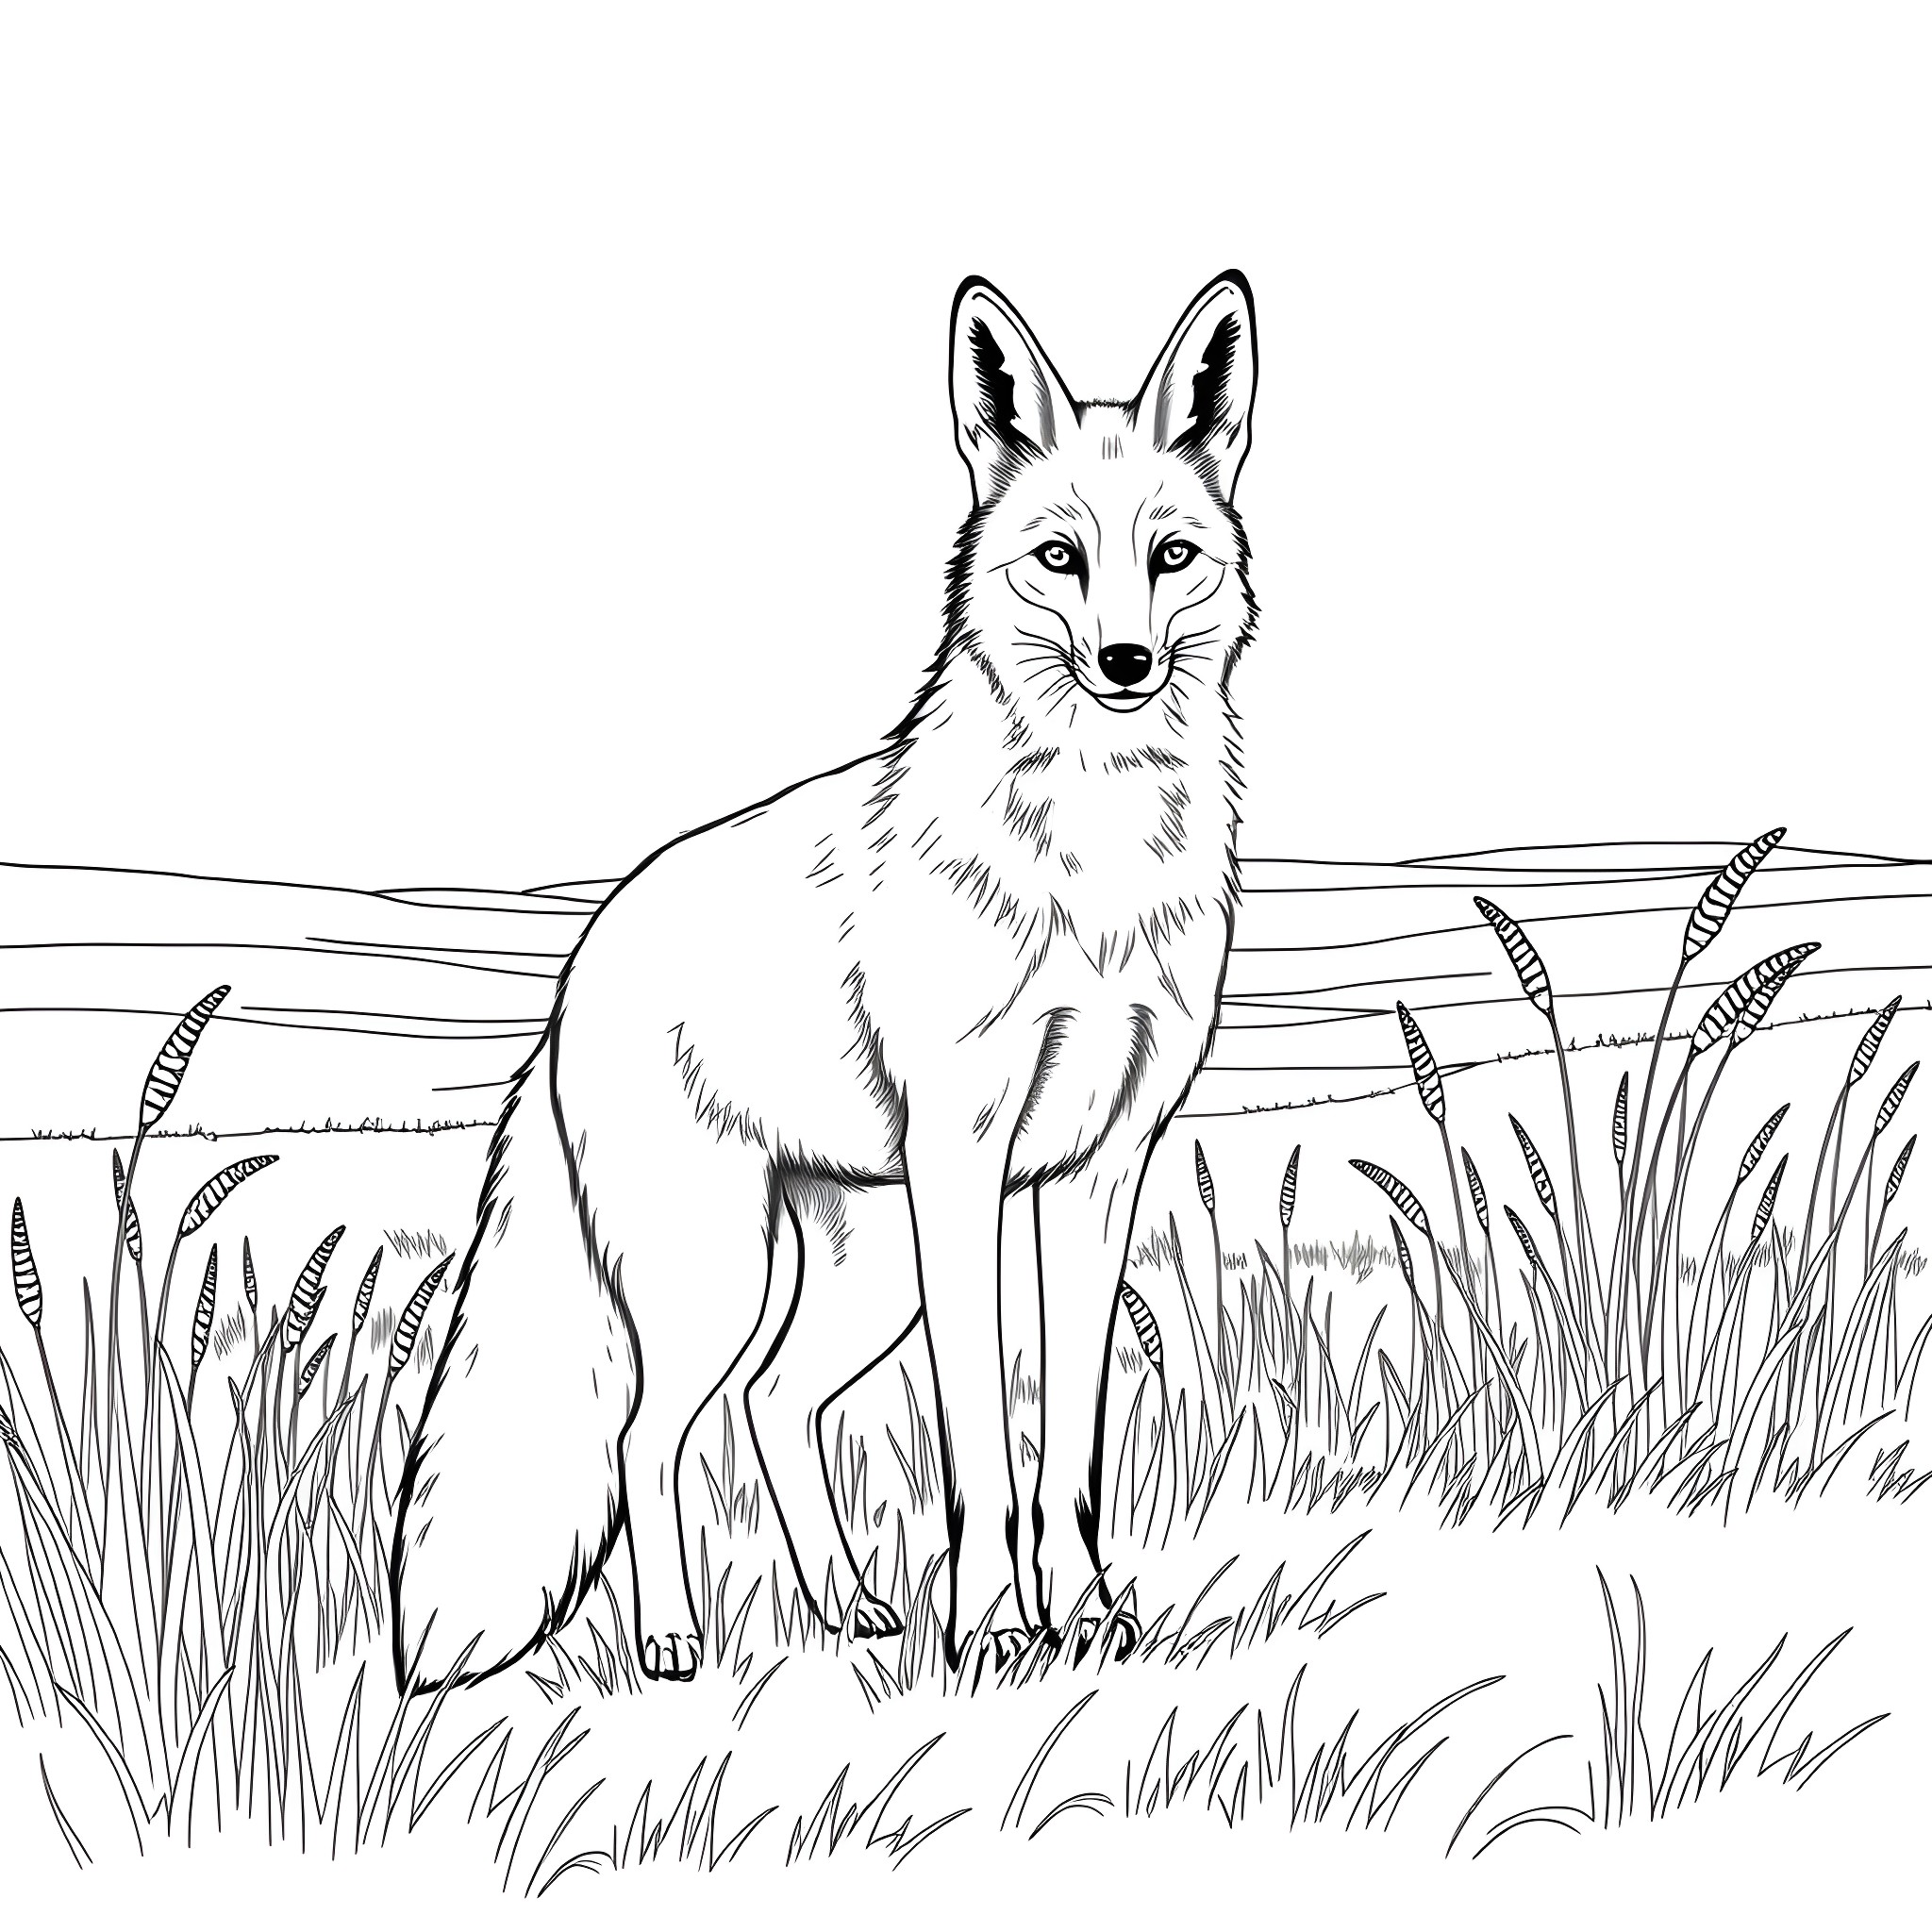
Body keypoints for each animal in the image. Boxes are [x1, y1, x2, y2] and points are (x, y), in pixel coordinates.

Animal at [391, 269, 1260, 1691]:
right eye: (1060, 559)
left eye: (1170, 556)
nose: (1126, 664)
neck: (1093, 869)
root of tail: (576, 971)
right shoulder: (966, 1158)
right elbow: (980, 1447)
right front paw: (996, 1628)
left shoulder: (1100, 1168)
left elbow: (1068, 1449)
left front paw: (1084, 1619)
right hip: (719, 1272)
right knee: (650, 1435)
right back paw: (675, 1637)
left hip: (858, 1271)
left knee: (771, 1402)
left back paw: (848, 1604)